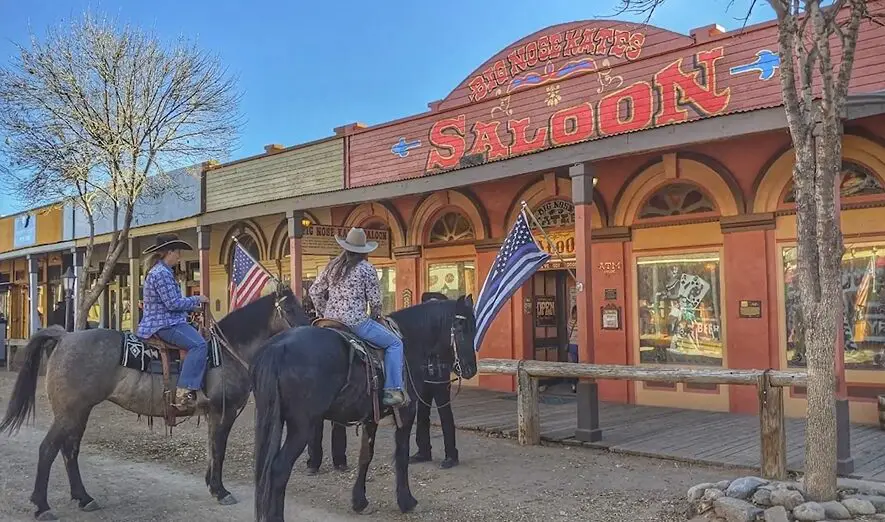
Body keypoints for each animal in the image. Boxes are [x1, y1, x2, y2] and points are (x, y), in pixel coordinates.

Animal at [0, 286, 310, 516]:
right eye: (291, 309)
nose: (311, 330)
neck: (225, 352)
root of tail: (65, 337)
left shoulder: (213, 413)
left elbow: (212, 449)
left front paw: (211, 485)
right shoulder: (224, 412)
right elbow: (219, 450)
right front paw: (221, 491)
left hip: (79, 411)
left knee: (69, 450)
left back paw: (84, 497)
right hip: (69, 412)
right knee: (48, 450)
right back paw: (42, 506)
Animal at [252, 294, 480, 516]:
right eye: (462, 328)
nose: (471, 369)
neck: (409, 341)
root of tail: (277, 348)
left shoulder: (371, 417)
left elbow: (365, 456)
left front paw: (359, 501)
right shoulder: (405, 413)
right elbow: (402, 456)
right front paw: (406, 501)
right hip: (302, 426)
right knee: (279, 470)